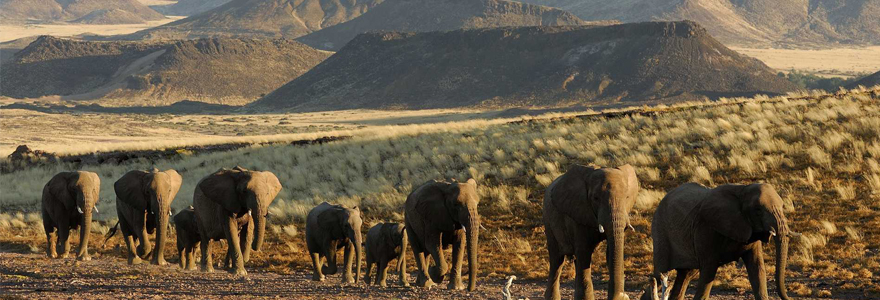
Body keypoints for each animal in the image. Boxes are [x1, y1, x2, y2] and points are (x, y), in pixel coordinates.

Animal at [540, 164, 636, 300]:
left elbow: (610, 252)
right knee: (557, 260)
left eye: (627, 197)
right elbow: (584, 253)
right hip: (548, 219)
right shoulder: (578, 213)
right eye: (595, 198)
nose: (623, 296)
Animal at [644, 182, 796, 300]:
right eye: (758, 210)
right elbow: (709, 269)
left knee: (685, 276)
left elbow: (757, 268)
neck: (742, 189)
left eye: (782, 207)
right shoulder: (706, 228)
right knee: (659, 274)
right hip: (660, 231)